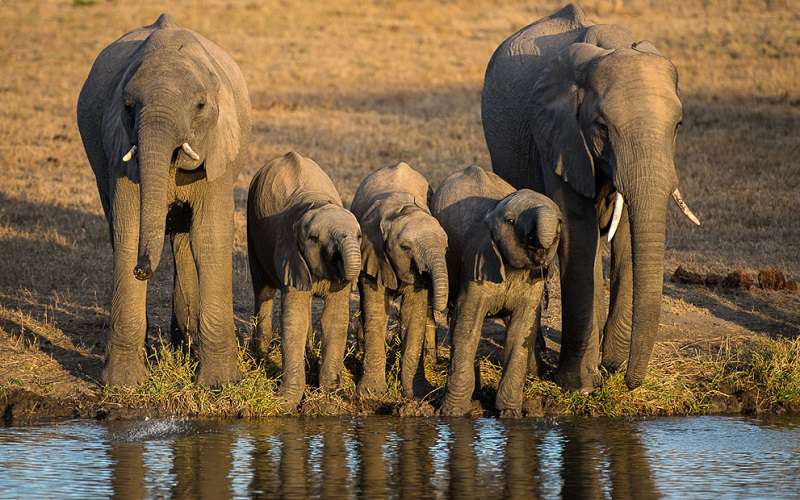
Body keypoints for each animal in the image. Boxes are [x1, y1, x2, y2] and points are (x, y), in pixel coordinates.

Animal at [76, 13, 250, 384]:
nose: (141, 270)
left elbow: (210, 236)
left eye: (200, 106)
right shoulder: (119, 150)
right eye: (128, 107)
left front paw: (219, 384)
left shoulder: (218, 150)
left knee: (186, 239)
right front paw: (123, 385)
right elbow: (127, 233)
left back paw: (186, 348)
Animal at [245, 151, 360, 410]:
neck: (317, 202)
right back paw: (260, 355)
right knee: (263, 291)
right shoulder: (289, 251)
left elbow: (334, 319)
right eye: (314, 238)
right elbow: (294, 320)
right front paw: (285, 402)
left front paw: (330, 396)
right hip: (251, 225)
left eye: (359, 236)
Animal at [352, 162, 450, 400]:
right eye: (405, 247)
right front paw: (371, 395)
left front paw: (418, 394)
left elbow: (413, 313)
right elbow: (377, 310)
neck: (401, 210)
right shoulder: (372, 251)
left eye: (446, 248)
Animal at [432, 166, 564, 416]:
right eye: (510, 221)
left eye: (561, 222)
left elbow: (520, 331)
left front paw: (510, 413)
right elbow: (468, 328)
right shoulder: (476, 264)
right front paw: (452, 414)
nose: (542, 249)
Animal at [478, 4, 696, 394]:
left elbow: (626, 234)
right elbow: (578, 233)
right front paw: (580, 385)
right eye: (602, 128)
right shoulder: (559, 136)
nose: (630, 383)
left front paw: (611, 367)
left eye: (678, 126)